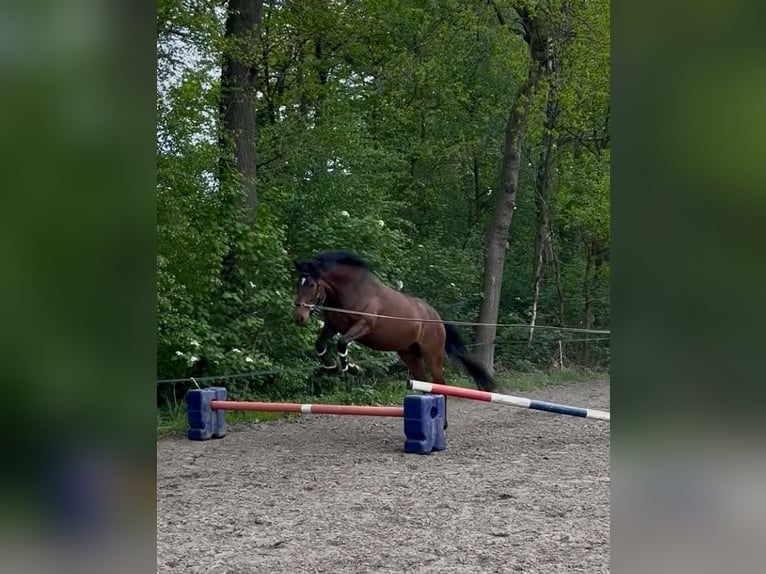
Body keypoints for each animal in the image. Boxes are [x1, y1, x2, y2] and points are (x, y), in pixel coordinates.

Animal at [292, 251, 496, 413]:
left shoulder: (364, 326)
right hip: (409, 354)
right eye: (297, 283)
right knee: (424, 383)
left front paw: (352, 368)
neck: (351, 291)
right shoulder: (332, 326)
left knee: (440, 386)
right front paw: (331, 366)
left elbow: (342, 342)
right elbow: (320, 343)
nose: (299, 317)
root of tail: (437, 319)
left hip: (432, 355)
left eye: (311, 284)